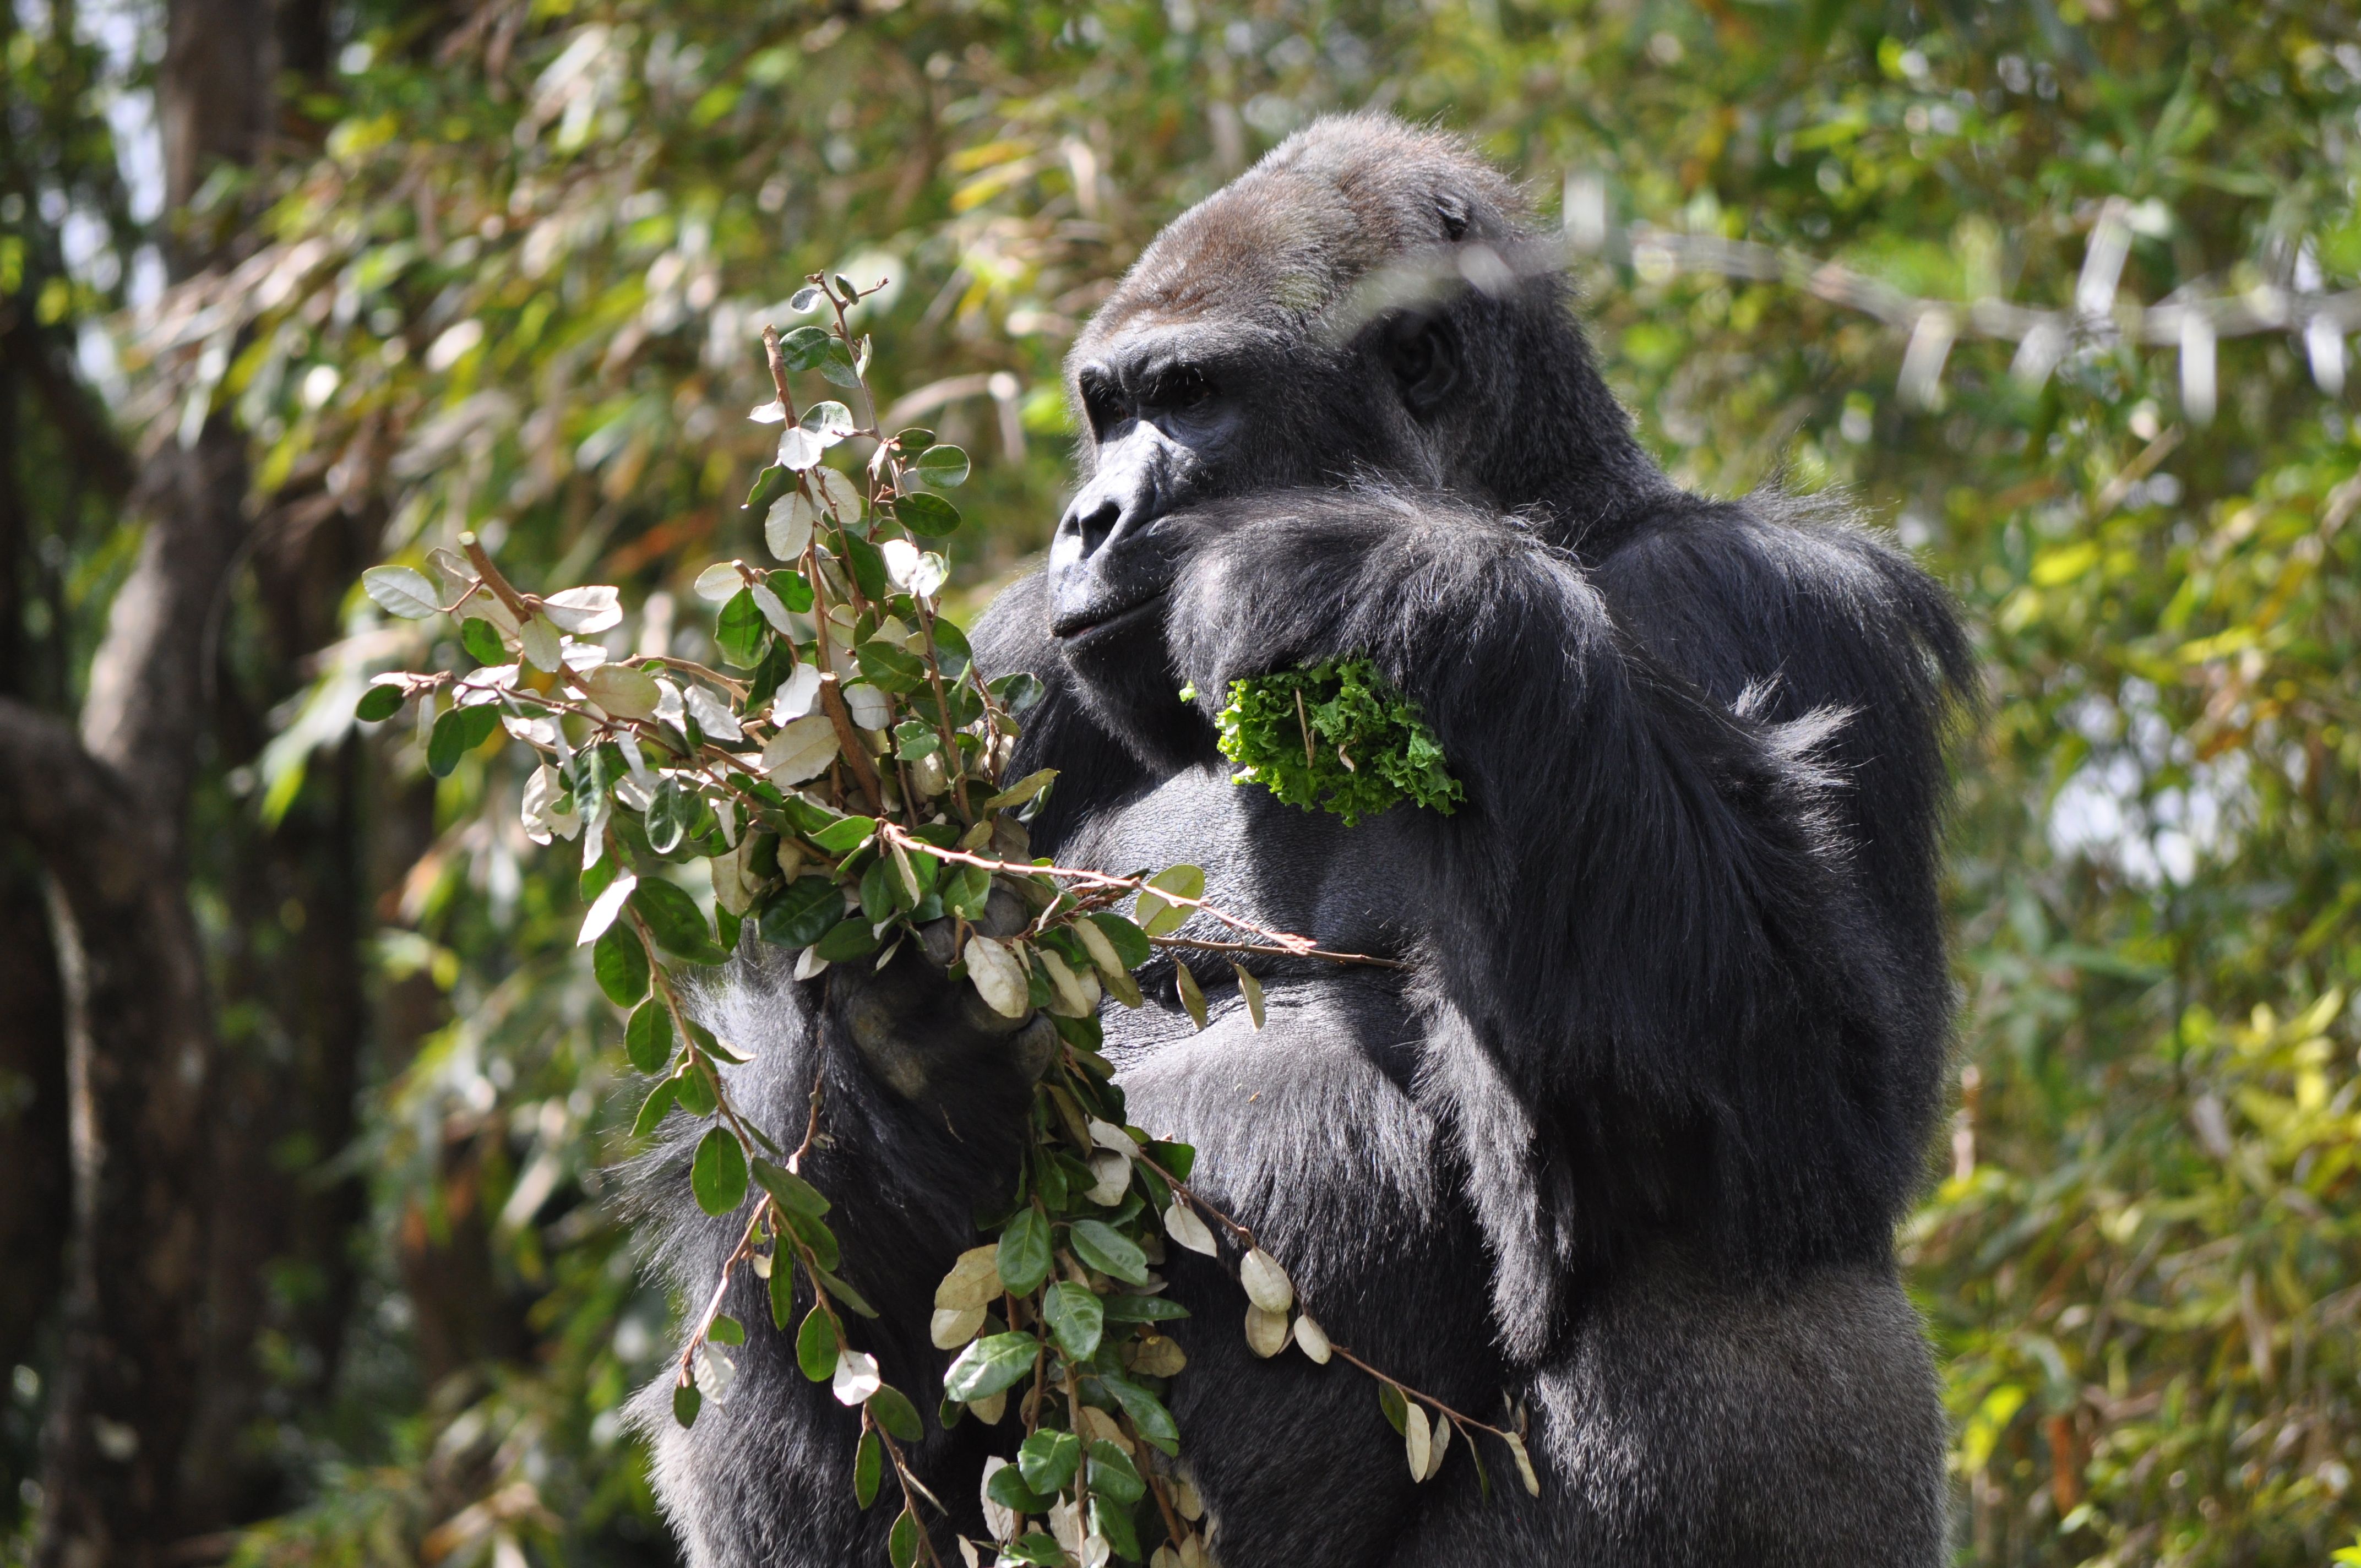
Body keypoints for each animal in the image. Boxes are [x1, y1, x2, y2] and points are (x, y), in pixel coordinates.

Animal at [637, 113, 1964, 1567]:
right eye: (1107, 406)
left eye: (1191, 393)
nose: (1089, 518)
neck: (1551, 503)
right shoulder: (1009, 658)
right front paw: (909, 1043)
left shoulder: (1777, 595)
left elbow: (1811, 1100)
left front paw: (1399, 581)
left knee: (1734, 1257)